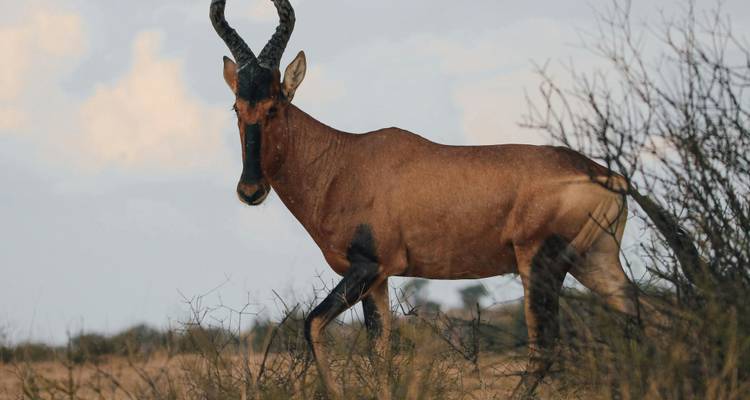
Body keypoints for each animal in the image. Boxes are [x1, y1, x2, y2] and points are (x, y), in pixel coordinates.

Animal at [210, 1, 643, 398]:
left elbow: (312, 323)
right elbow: (379, 354)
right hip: (596, 261)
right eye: (237, 105)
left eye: (274, 105)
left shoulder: (367, 267)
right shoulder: (378, 279)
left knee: (545, 348)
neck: (344, 160)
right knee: (636, 320)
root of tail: (607, 175)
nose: (250, 190)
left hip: (540, 263)